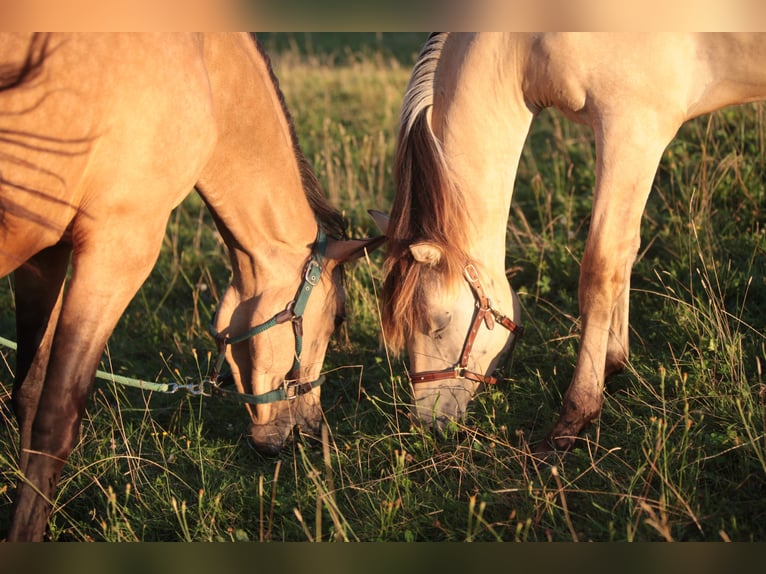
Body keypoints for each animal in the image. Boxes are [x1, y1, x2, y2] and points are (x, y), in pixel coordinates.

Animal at [0, 32, 382, 544]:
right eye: (339, 318)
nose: (309, 429)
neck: (208, 69)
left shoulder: (46, 255)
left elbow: (28, 394)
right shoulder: (118, 249)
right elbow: (56, 418)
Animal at [378, 32, 766, 450]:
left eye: (438, 322)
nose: (425, 421)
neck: (523, 45)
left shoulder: (633, 130)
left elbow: (601, 269)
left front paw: (576, 414)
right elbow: (623, 253)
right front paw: (612, 362)